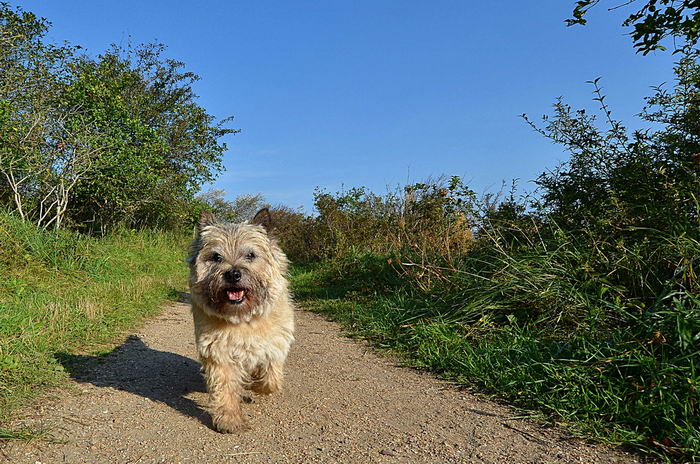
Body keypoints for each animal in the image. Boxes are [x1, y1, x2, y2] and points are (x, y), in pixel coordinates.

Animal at [187, 208, 294, 434]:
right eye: (216, 257)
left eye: (251, 255)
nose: (233, 274)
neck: (243, 319)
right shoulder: (219, 353)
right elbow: (224, 387)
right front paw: (229, 419)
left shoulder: (276, 345)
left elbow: (271, 379)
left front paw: (256, 384)